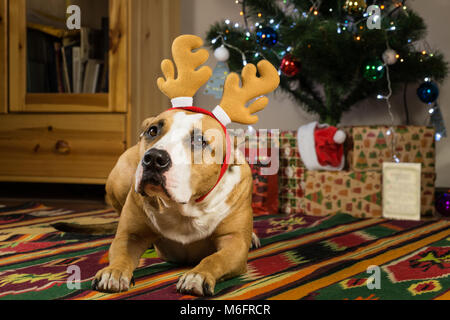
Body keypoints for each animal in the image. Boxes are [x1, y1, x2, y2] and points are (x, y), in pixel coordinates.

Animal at [89, 34, 280, 296]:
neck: (186, 207)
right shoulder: (130, 235)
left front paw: (198, 275)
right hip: (119, 175)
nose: (154, 158)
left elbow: (214, 258)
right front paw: (114, 272)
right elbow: (121, 252)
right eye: (153, 130)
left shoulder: (233, 245)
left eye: (199, 140)